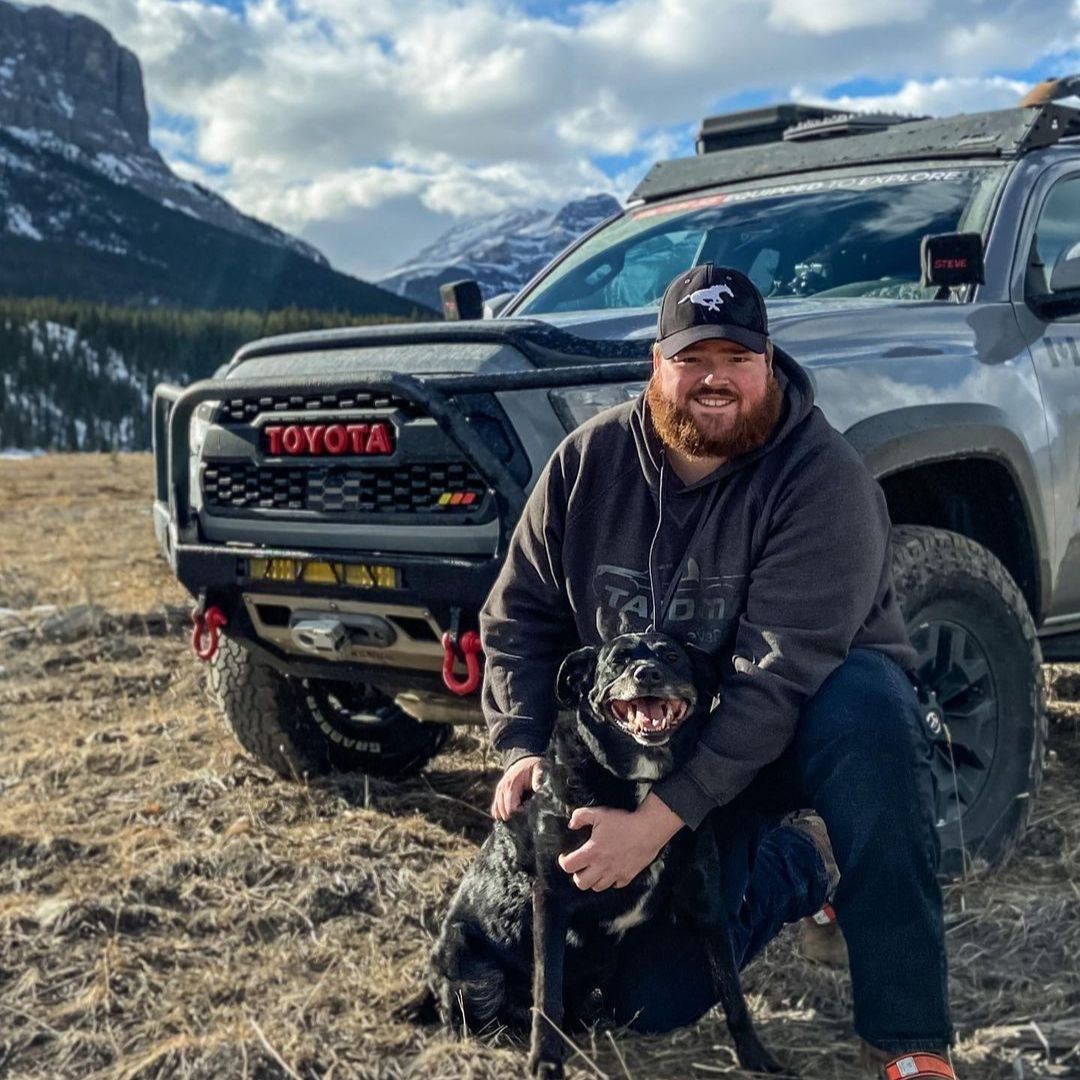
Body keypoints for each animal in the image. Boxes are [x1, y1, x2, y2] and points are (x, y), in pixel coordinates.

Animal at [423, 635, 786, 1075]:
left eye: (671, 656)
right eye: (617, 662)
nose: (647, 673)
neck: (640, 782)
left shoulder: (708, 906)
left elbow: (732, 991)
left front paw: (756, 1056)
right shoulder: (551, 901)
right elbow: (547, 993)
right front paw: (545, 1060)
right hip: (467, 958)